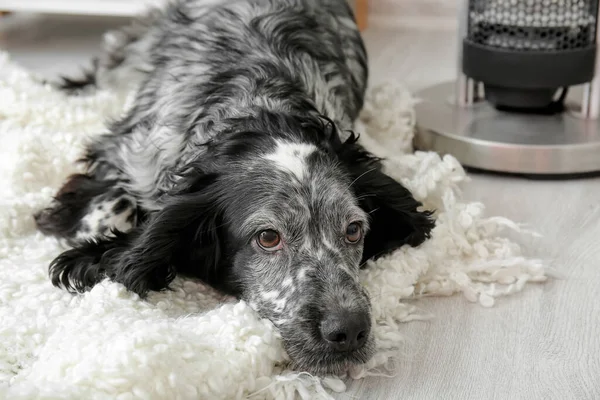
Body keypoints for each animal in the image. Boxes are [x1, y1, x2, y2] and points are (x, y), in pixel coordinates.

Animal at [35, 0, 434, 376]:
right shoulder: (125, 152)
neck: (259, 111)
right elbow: (107, 211)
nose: (349, 331)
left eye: (353, 230)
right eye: (268, 237)